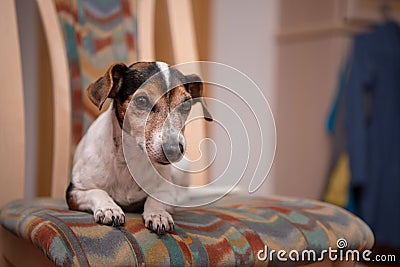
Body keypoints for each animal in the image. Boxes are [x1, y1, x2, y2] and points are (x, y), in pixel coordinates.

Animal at [67, 62, 212, 234]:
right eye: (142, 100)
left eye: (186, 104)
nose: (173, 150)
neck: (128, 161)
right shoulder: (75, 191)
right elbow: (98, 192)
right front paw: (109, 208)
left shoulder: (167, 192)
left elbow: (154, 199)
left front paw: (158, 214)